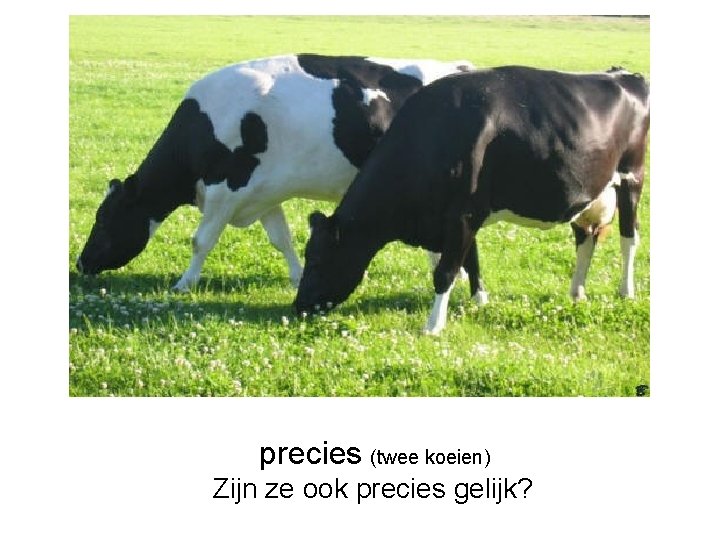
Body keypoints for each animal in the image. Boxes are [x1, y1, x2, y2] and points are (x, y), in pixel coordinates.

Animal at [75, 54, 475, 290]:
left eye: (105, 219)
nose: (81, 262)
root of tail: (462, 68)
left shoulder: (225, 187)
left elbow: (201, 240)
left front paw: (184, 283)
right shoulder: (263, 192)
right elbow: (281, 239)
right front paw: (298, 277)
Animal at [294, 65, 650, 335]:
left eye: (317, 260)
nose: (298, 306)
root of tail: (623, 75)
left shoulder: (463, 212)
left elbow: (446, 271)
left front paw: (433, 326)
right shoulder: (460, 216)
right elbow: (472, 259)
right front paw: (480, 300)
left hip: (632, 176)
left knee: (628, 237)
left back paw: (626, 291)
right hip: (589, 193)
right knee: (585, 239)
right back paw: (576, 292)